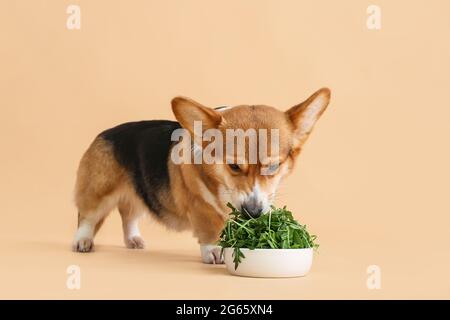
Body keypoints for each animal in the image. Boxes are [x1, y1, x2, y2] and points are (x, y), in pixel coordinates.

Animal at [72, 87, 328, 262]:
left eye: (274, 167)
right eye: (234, 166)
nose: (253, 213)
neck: (221, 184)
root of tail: (105, 133)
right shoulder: (201, 205)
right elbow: (210, 227)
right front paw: (214, 250)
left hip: (139, 191)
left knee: (128, 215)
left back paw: (133, 239)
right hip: (98, 191)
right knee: (87, 217)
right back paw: (82, 241)